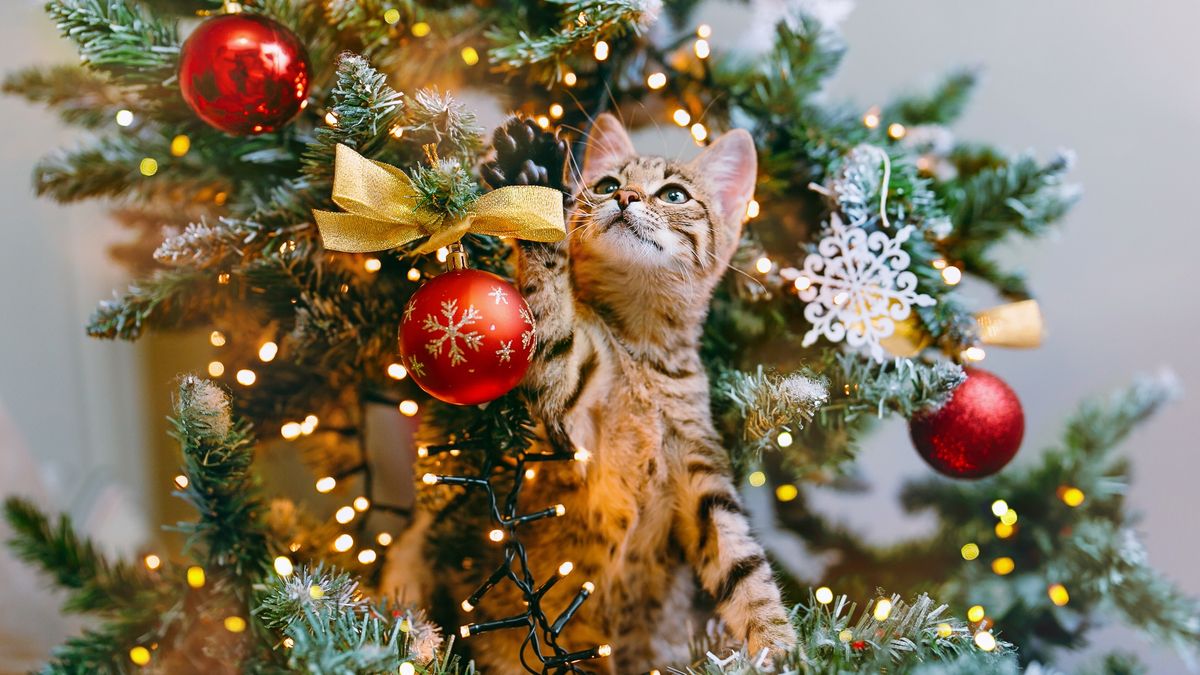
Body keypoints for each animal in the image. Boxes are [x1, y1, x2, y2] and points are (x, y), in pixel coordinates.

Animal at [386, 112, 796, 667]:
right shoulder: (569, 397)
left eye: (673, 194)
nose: (625, 198)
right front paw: (533, 182)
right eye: (605, 185)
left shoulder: (701, 473)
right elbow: (550, 314)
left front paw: (781, 646)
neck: (640, 352)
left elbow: (745, 568)